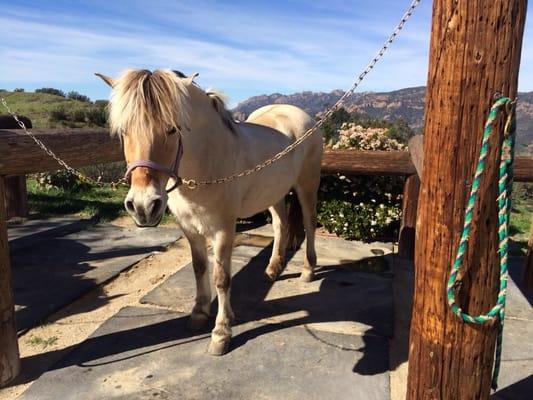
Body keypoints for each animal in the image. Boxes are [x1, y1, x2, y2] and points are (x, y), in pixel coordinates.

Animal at [94, 69, 324, 356]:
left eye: (173, 129)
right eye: (123, 131)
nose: (143, 206)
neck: (207, 163)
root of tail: (300, 115)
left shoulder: (224, 229)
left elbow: (221, 278)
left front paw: (221, 333)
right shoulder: (190, 228)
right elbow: (199, 268)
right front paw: (199, 313)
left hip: (307, 186)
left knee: (309, 224)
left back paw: (307, 270)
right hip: (274, 192)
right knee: (281, 224)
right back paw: (273, 268)